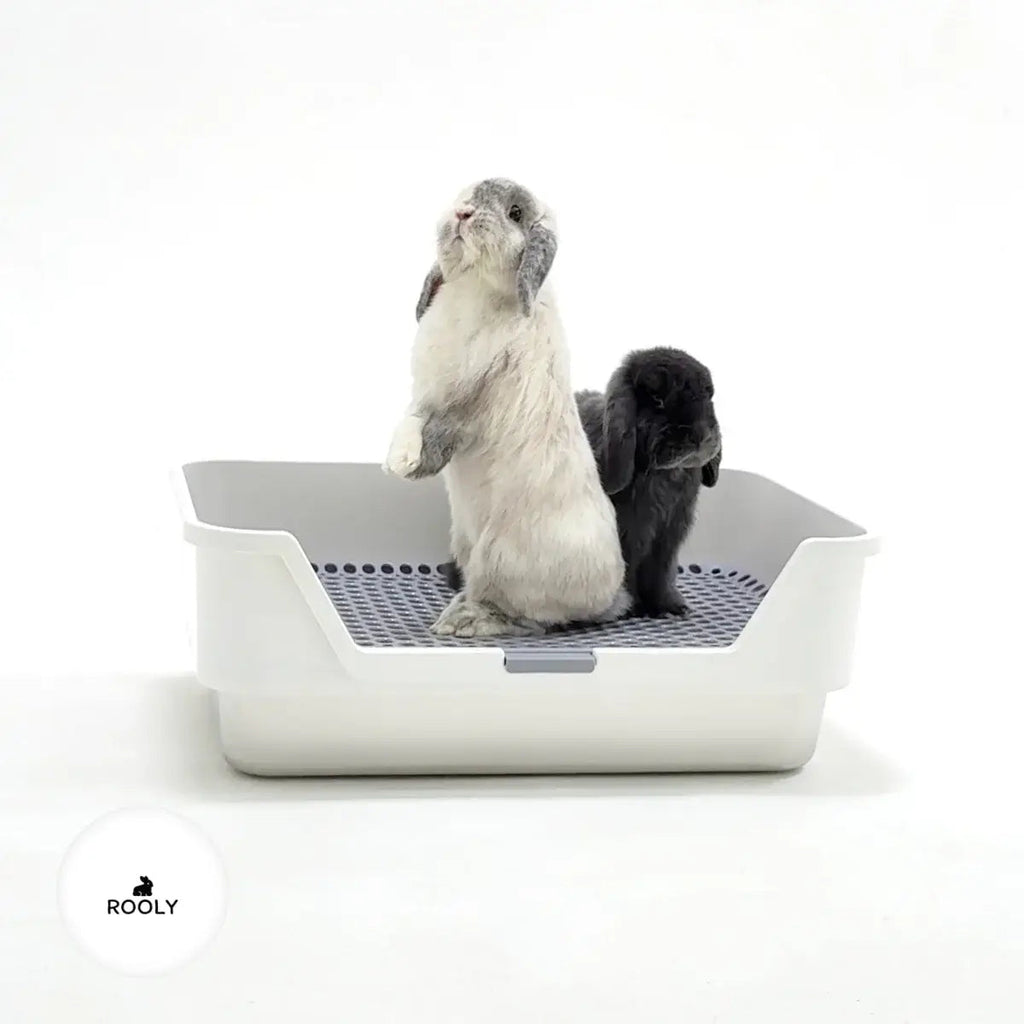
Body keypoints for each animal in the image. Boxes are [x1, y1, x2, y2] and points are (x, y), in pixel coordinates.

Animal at [383, 178, 626, 637]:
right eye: (466, 194)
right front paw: (396, 460)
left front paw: (408, 466)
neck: (474, 287)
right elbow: (410, 420)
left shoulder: (470, 402)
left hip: (499, 558)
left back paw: (464, 620)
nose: (462, 213)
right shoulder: (424, 395)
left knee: (527, 617)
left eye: (515, 213)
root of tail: (609, 595)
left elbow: (440, 430)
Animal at [575, 347, 722, 618]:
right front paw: (633, 608)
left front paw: (673, 605)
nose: (699, 435)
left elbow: (661, 574)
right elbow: (629, 573)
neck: (668, 474)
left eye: (708, 396)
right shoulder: (629, 535)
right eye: (657, 399)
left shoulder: (669, 538)